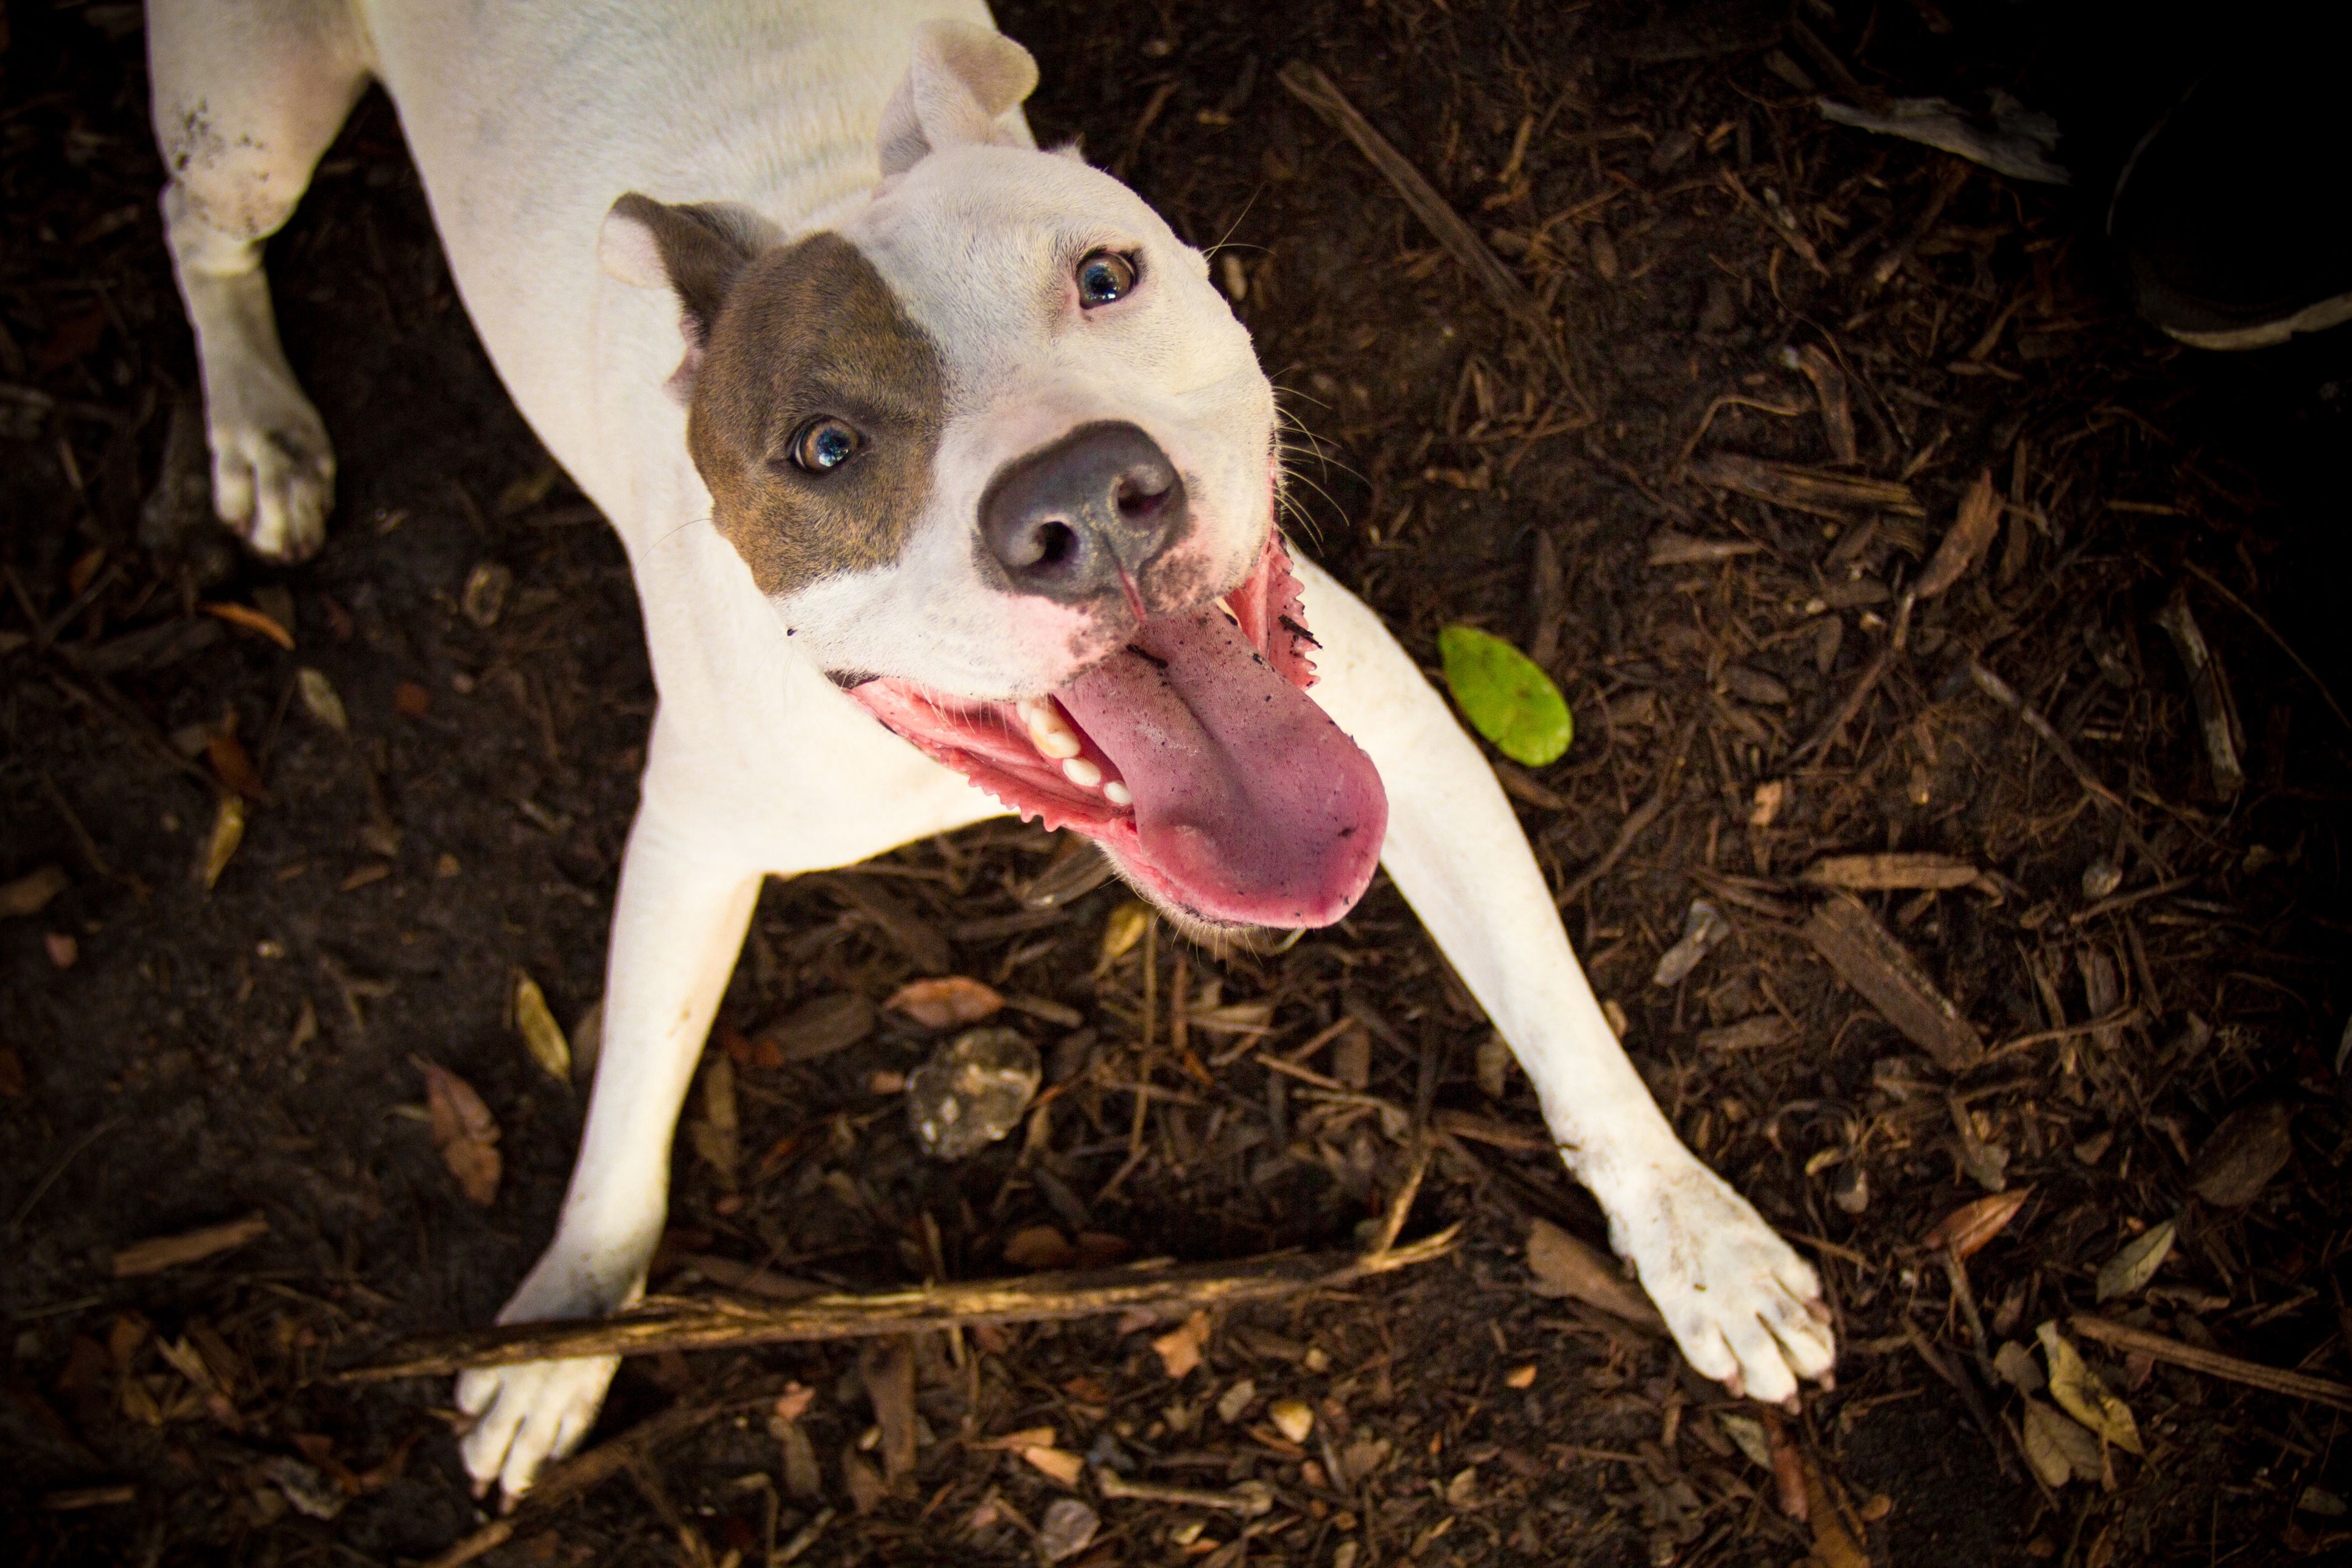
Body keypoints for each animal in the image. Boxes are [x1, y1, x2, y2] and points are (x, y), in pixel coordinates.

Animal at [147, 0, 1834, 1504]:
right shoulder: (694, 834)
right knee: (197, 224)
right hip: (252, 121)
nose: (1083, 498)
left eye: (1106, 276)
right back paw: (257, 430)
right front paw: (564, 1326)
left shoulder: (1398, 738)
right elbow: (629, 1107)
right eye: (824, 447)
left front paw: (1696, 1237)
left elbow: (1563, 1023)